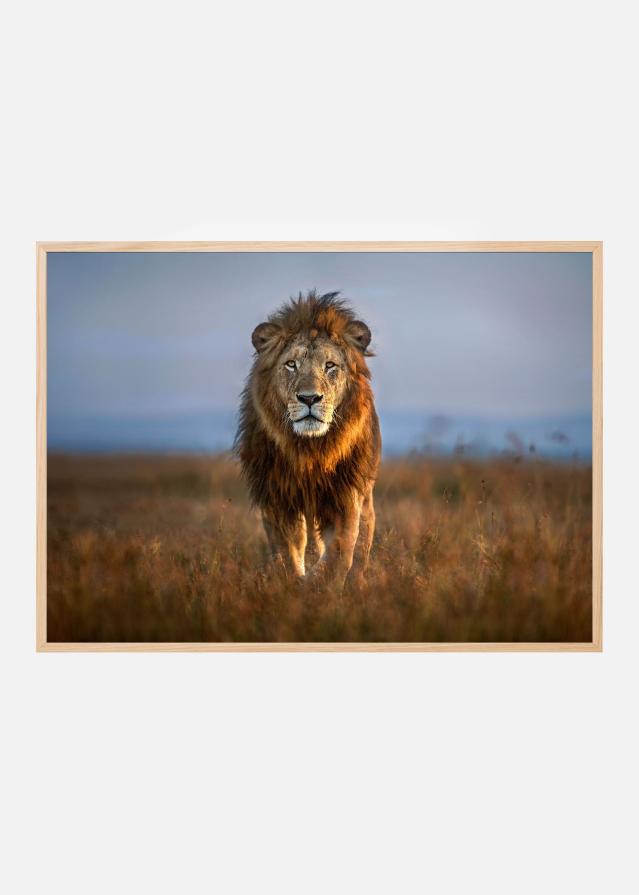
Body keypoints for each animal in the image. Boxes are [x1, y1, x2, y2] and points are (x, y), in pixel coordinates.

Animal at [235, 290, 381, 588]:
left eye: (330, 366)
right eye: (291, 364)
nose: (310, 398)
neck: (310, 449)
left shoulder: (346, 495)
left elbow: (340, 551)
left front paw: (321, 585)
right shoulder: (277, 497)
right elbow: (287, 551)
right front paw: (293, 584)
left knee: (361, 546)